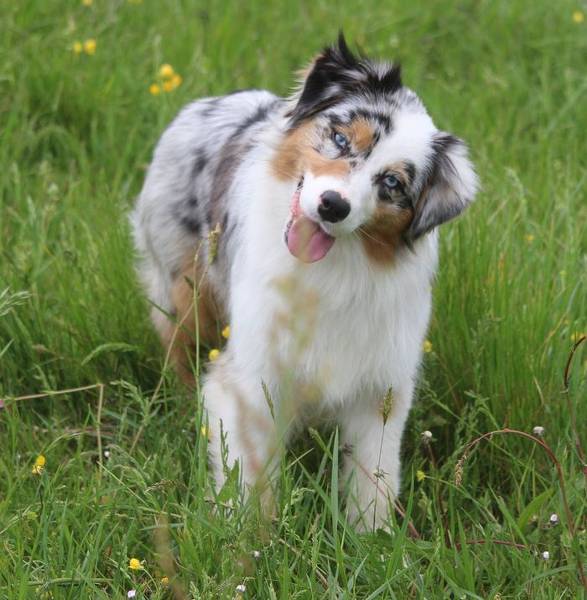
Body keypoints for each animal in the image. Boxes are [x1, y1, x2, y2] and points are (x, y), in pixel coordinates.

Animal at [131, 34, 477, 529]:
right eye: (339, 138)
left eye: (392, 183)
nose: (333, 205)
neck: (333, 270)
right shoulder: (253, 375)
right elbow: (249, 478)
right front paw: (246, 539)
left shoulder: (380, 386)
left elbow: (373, 479)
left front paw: (370, 541)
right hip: (186, 294)